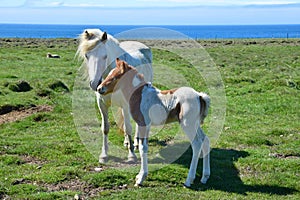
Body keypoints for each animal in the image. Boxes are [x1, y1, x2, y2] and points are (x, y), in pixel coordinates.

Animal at [77, 28, 152, 163]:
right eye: (86, 56)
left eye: (105, 56)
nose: (95, 84)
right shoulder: (102, 104)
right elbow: (105, 128)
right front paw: (104, 155)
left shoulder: (126, 105)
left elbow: (128, 127)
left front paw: (131, 155)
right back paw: (128, 142)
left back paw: (136, 143)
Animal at [97, 59, 210, 188]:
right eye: (109, 74)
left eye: (115, 77)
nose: (99, 88)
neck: (139, 94)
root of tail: (199, 96)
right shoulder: (145, 125)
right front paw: (139, 176)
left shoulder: (143, 123)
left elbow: (143, 148)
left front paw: (141, 179)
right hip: (195, 124)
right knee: (205, 140)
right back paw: (205, 177)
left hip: (188, 124)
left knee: (197, 144)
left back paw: (188, 180)